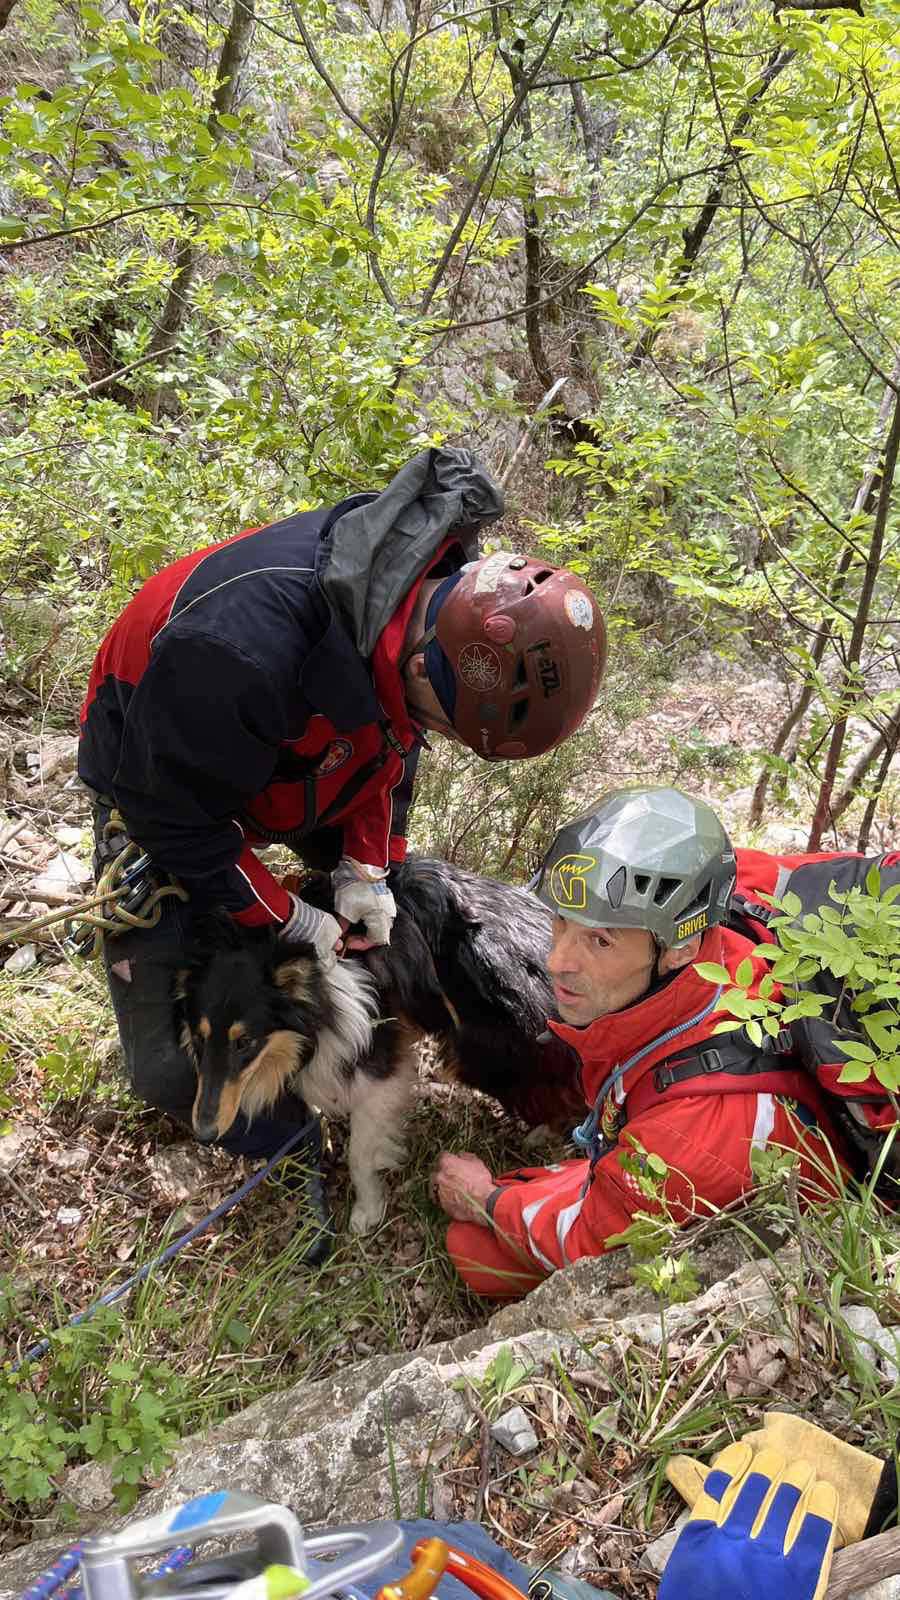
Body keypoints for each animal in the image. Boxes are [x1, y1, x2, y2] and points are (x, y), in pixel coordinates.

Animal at [175, 857, 582, 1228]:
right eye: (198, 1036)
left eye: (244, 1042)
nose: (205, 1133)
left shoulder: (379, 1069)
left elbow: (361, 1152)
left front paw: (367, 1210)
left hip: (483, 1050)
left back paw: (546, 1132)